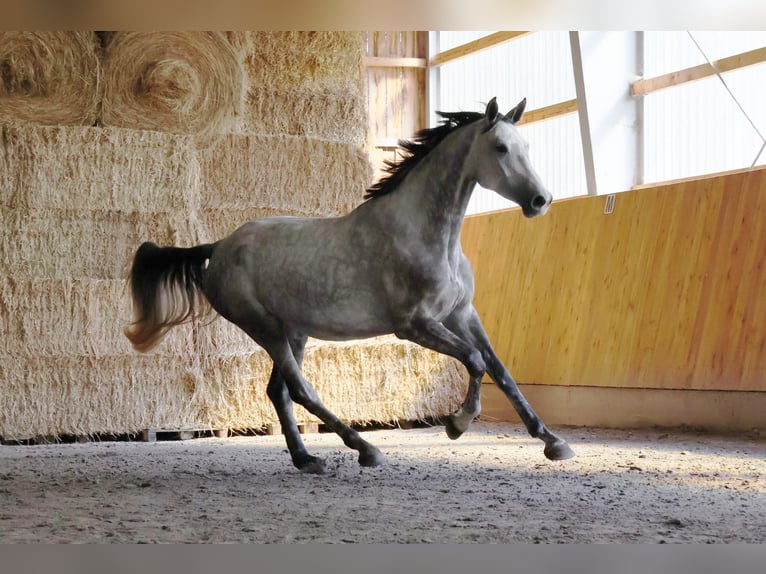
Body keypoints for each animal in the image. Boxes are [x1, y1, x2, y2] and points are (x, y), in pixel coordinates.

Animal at [124, 96, 575, 474]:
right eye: (500, 148)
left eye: (526, 146)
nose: (541, 201)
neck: (427, 235)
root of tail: (218, 247)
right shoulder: (415, 325)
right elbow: (476, 361)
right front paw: (457, 424)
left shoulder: (462, 314)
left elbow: (500, 369)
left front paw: (553, 442)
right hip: (265, 328)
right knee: (300, 390)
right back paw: (364, 448)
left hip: (293, 331)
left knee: (279, 392)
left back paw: (307, 459)